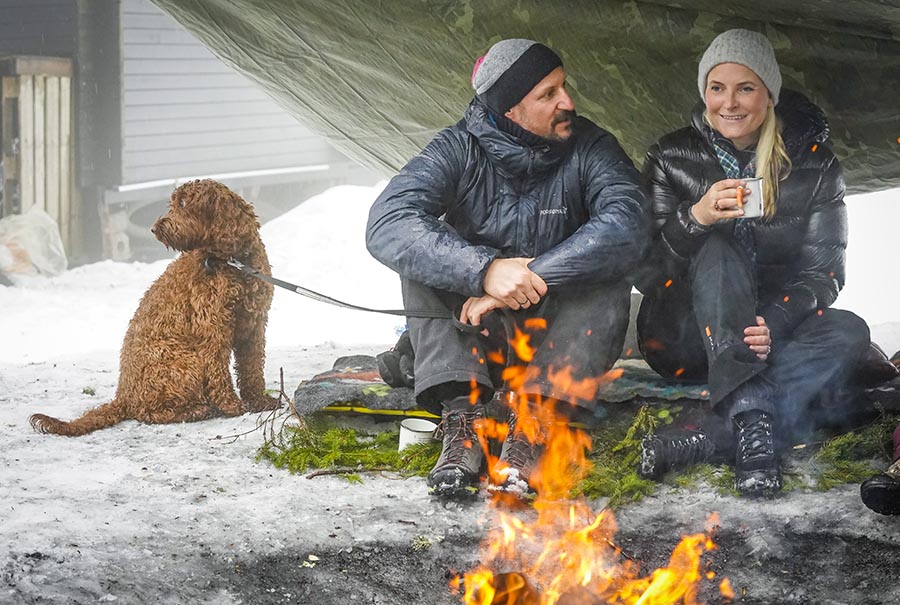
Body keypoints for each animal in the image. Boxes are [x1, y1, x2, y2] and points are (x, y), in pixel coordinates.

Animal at [30, 178, 278, 434]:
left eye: (184, 203)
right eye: (174, 203)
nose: (155, 228)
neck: (232, 262)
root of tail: (123, 397)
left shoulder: (254, 324)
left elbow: (252, 367)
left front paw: (259, 400)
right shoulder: (213, 329)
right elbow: (218, 370)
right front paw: (231, 405)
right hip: (183, 361)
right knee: (148, 412)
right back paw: (196, 410)